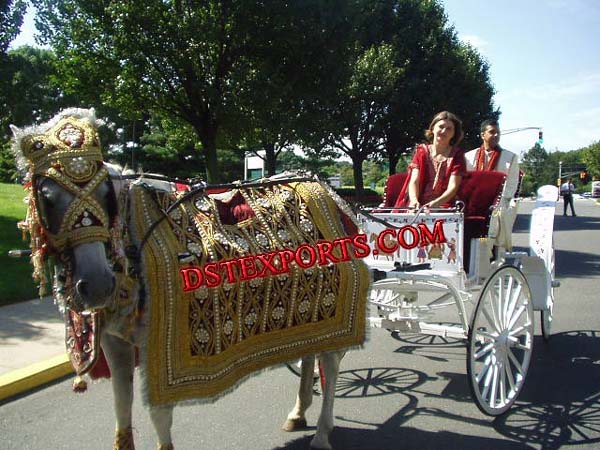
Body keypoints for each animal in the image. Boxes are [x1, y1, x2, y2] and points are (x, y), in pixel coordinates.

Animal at [12, 109, 370, 450]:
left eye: (105, 192)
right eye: (46, 196)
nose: (97, 284)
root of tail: (331, 194)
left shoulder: (160, 347)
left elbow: (159, 416)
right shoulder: (116, 344)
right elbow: (121, 408)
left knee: (331, 365)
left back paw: (322, 431)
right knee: (312, 353)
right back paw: (298, 412)